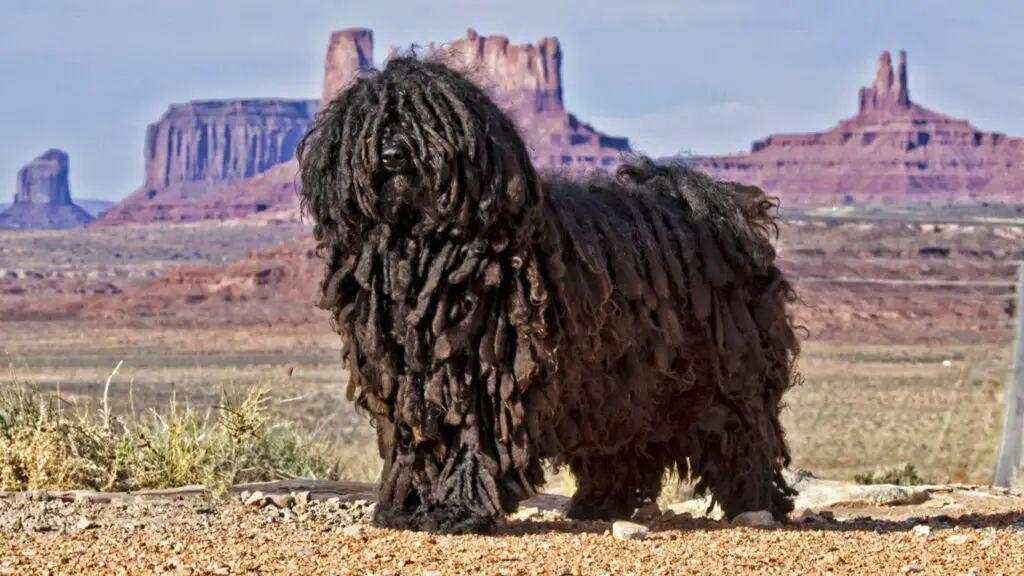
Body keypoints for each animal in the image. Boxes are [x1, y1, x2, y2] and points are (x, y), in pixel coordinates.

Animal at [299, 52, 802, 528]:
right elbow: (416, 439)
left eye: (433, 120)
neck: (420, 246)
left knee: (741, 432)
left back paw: (756, 501)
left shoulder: (481, 371)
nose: (393, 155)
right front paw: (407, 506)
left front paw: (456, 509)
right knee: (621, 440)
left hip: (724, 366)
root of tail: (719, 207)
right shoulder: (408, 376)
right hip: (619, 379)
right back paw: (598, 503)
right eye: (370, 123)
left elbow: (470, 437)